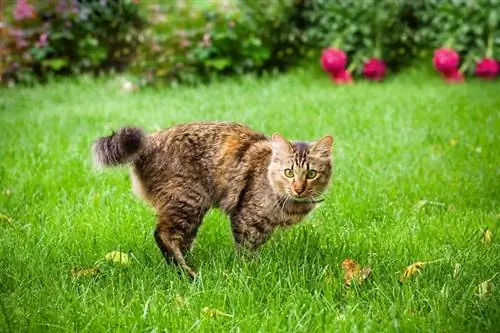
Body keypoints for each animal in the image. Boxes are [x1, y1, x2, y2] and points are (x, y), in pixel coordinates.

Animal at [93, 120, 336, 276]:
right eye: (289, 173)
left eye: (311, 174)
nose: (299, 188)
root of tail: (151, 140)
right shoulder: (247, 219)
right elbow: (247, 251)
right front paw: (250, 271)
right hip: (188, 200)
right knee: (163, 235)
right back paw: (187, 273)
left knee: (181, 240)